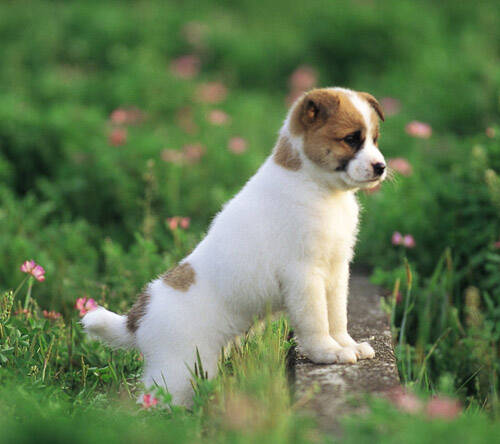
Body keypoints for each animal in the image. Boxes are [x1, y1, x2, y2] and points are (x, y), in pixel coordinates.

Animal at [82, 86, 386, 406]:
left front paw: (346, 345)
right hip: (176, 371)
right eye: (351, 139)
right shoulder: (304, 277)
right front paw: (328, 352)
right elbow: (316, 322)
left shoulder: (336, 271)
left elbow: (337, 316)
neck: (315, 185)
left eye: (374, 139)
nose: (381, 167)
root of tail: (137, 319)